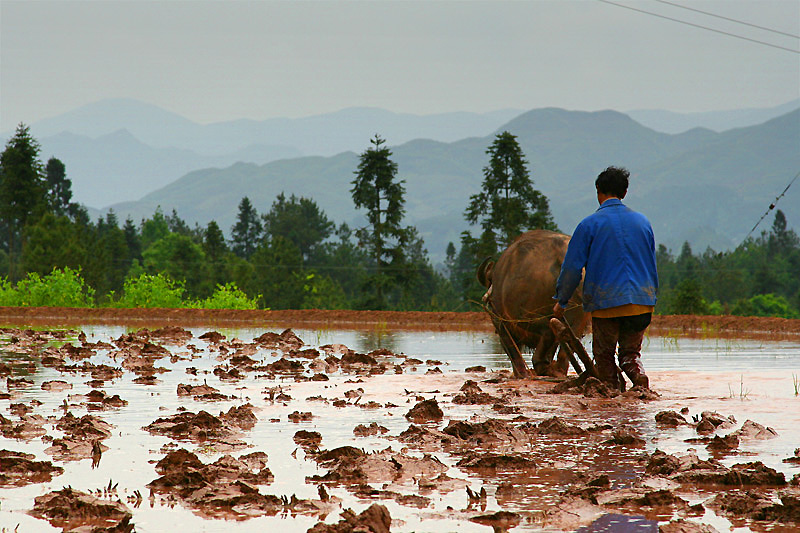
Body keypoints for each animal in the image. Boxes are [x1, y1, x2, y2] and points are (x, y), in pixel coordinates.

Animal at [478, 229, 584, 378]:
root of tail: (561, 254)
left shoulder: (501, 324)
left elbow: (513, 353)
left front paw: (520, 374)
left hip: (527, 315)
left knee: (548, 331)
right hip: (579, 317)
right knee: (566, 343)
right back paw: (557, 370)